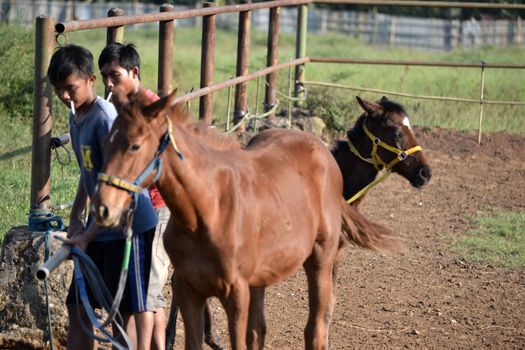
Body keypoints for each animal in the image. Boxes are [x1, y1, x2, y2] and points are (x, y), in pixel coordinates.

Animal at [92, 91, 396, 350]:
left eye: (134, 145)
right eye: (105, 142)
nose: (103, 207)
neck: (206, 209)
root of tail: (324, 153)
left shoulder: (235, 294)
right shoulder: (188, 290)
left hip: (320, 259)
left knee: (316, 330)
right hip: (261, 277)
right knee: (259, 331)